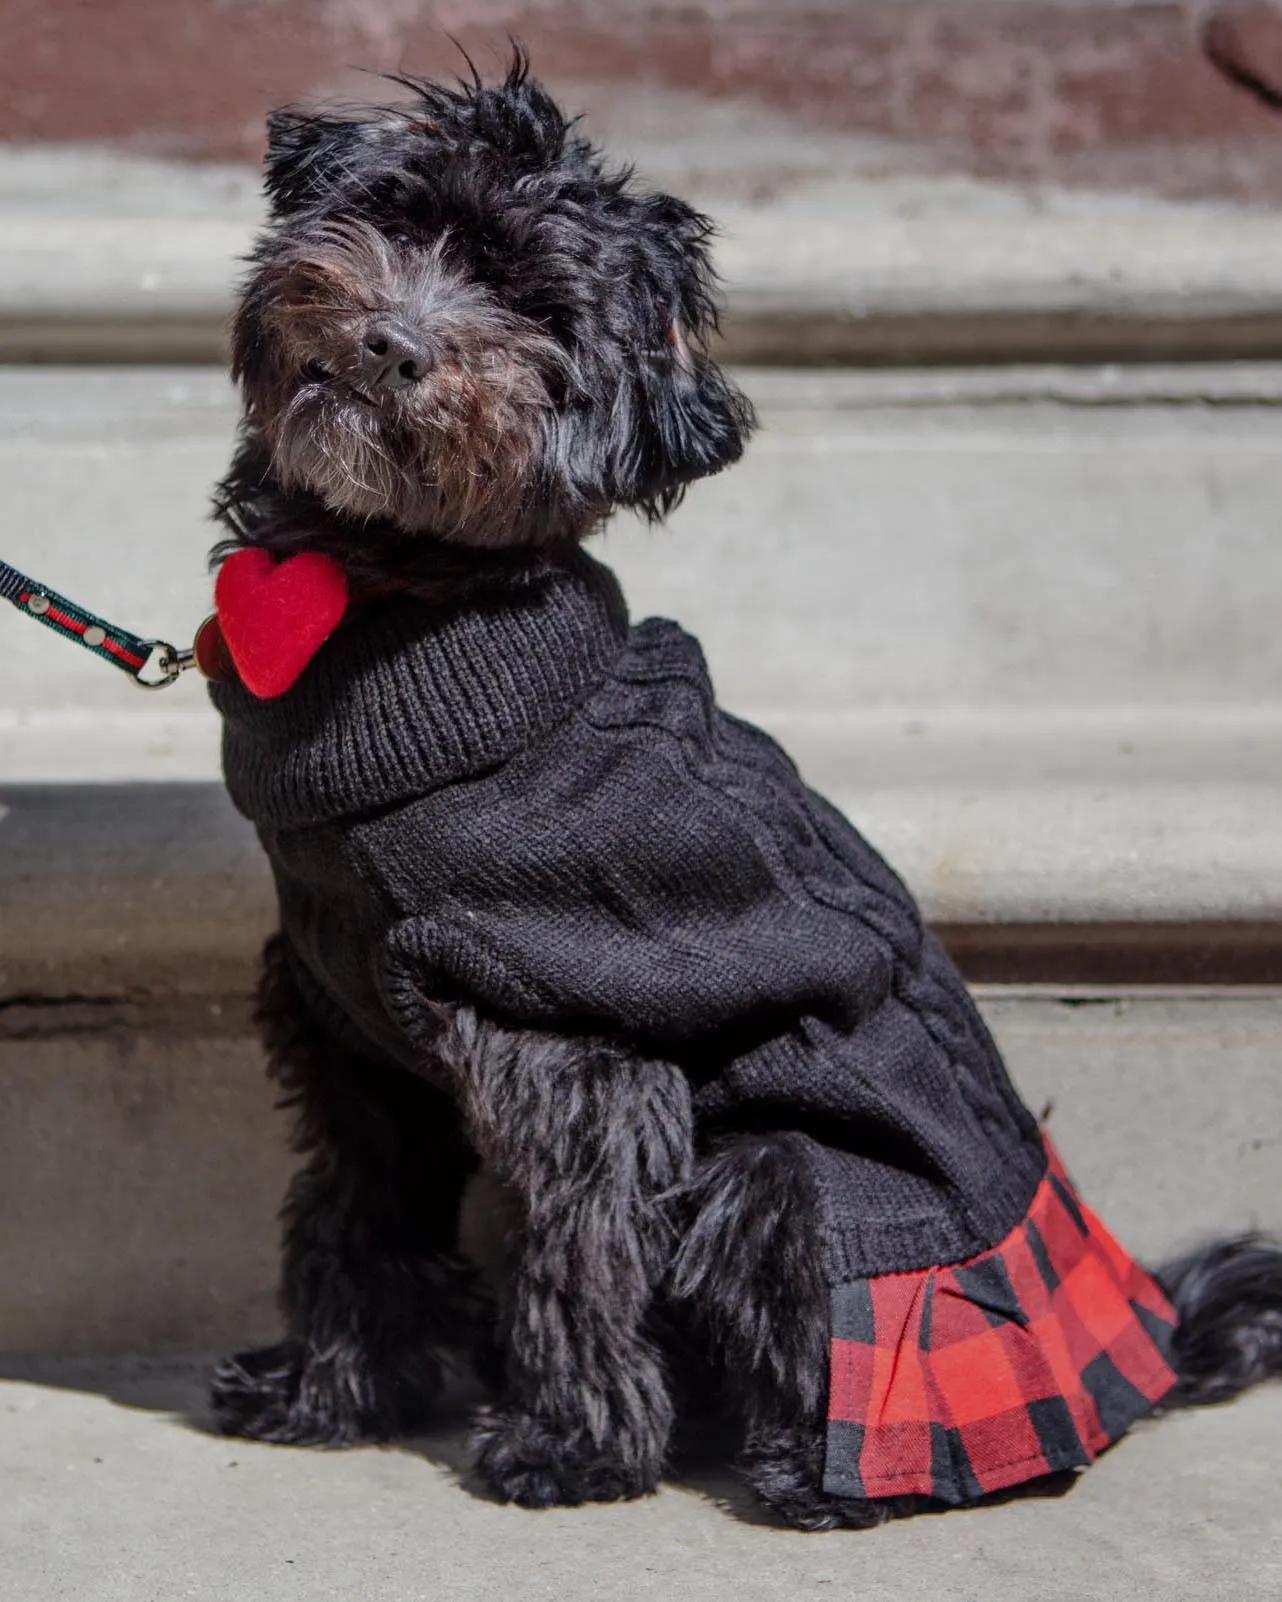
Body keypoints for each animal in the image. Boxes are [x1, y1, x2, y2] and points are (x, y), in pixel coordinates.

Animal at [209, 53, 1282, 1525]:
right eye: (406, 216)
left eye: (541, 317)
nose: (391, 344)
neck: (389, 603)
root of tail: (1147, 1341)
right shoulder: (351, 1035)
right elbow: (352, 1217)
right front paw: (325, 1396)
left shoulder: (579, 1065)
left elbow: (577, 1257)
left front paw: (571, 1450)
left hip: (775, 1175)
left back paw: (811, 1475)